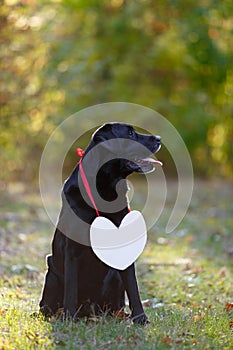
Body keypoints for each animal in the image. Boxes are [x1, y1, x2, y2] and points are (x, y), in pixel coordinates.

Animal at [39, 123, 160, 326]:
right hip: (52, 275)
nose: (159, 138)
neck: (105, 190)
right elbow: (71, 288)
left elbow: (133, 289)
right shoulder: (72, 250)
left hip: (114, 277)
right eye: (130, 133)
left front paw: (140, 318)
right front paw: (69, 318)